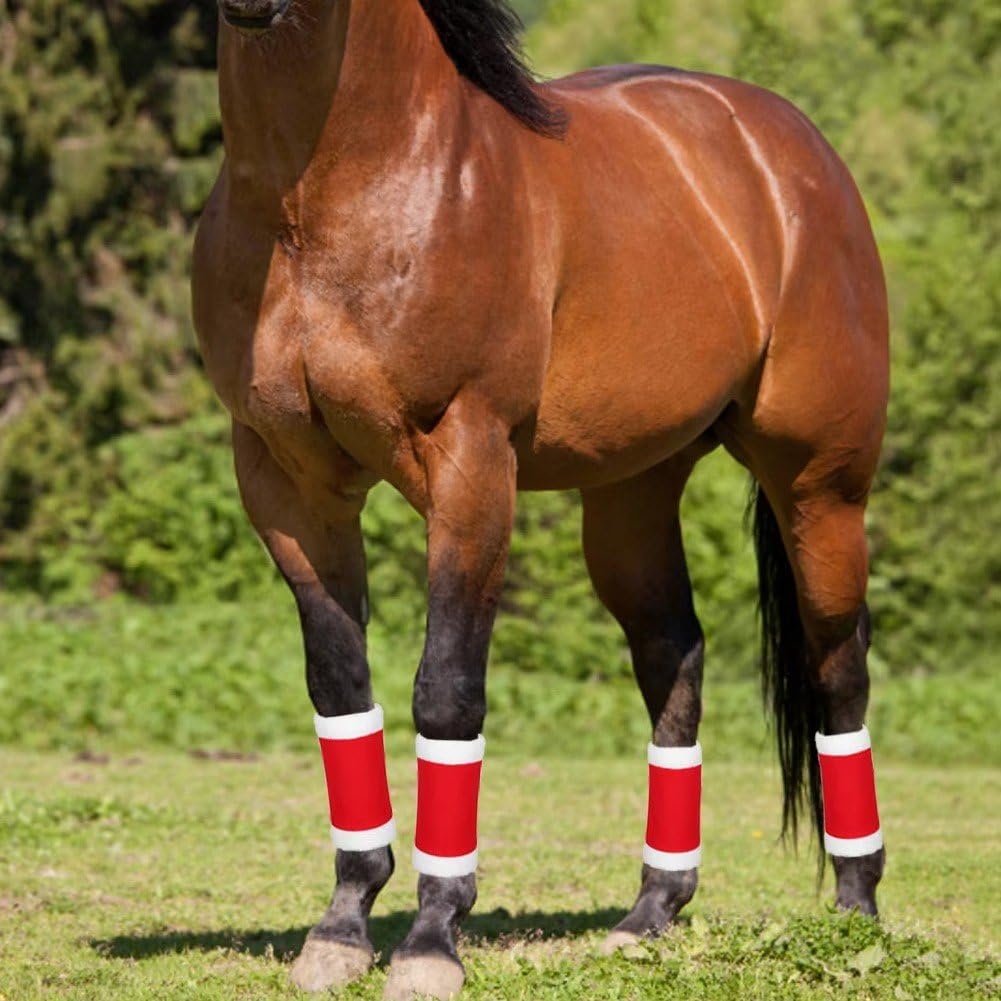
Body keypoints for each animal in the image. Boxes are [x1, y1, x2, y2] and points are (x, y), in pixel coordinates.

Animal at [191, 0, 890, 997]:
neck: (323, 198)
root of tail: (790, 149)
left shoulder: (471, 463)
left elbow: (446, 692)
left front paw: (431, 938)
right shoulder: (285, 481)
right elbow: (339, 689)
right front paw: (342, 925)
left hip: (819, 486)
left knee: (838, 666)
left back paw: (854, 910)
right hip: (632, 494)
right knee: (674, 657)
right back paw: (650, 912)